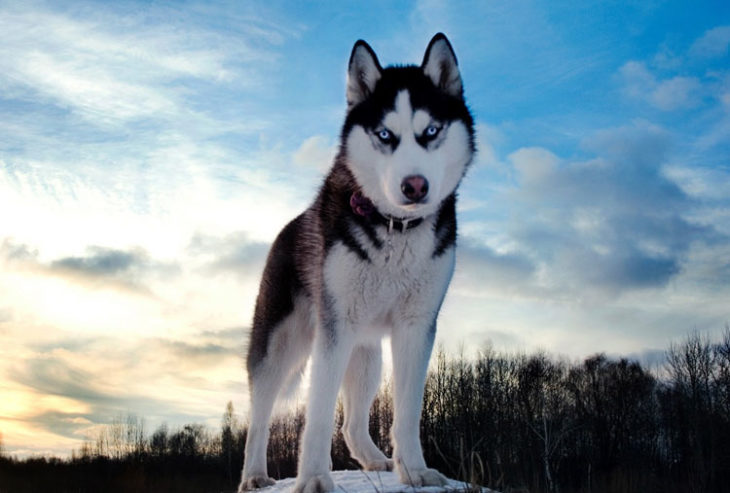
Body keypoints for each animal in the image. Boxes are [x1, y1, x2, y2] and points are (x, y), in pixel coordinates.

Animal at [239, 33, 474, 492]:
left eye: (431, 131)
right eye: (385, 134)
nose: (415, 185)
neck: (395, 228)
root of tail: (288, 227)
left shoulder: (416, 326)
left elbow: (408, 411)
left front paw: (414, 470)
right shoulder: (335, 329)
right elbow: (316, 414)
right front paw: (313, 478)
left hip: (366, 354)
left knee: (350, 424)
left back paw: (375, 459)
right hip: (281, 345)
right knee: (259, 415)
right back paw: (255, 474)